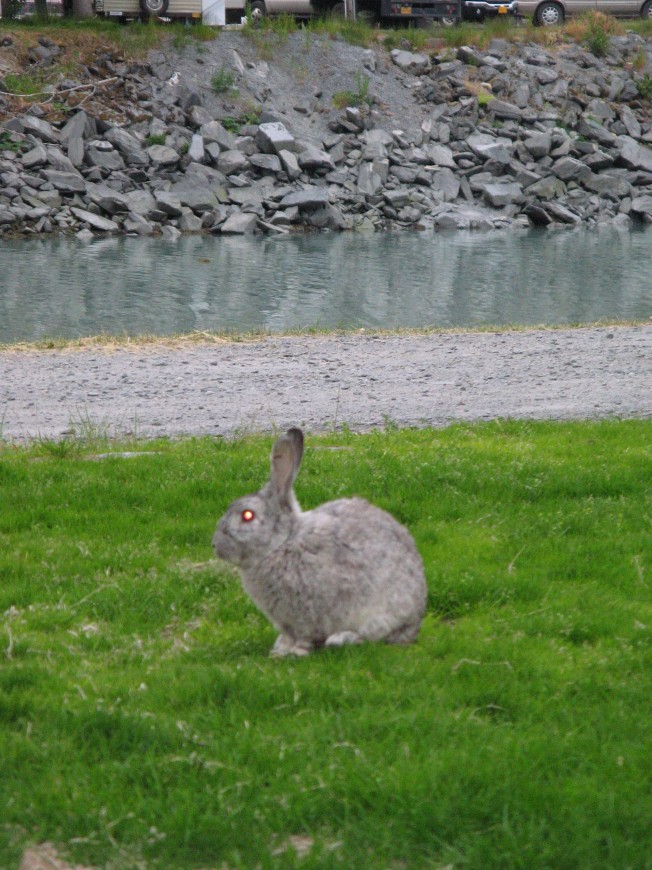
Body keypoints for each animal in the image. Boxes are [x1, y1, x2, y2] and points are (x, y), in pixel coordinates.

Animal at [214, 430, 428, 660]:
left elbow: (304, 636)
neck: (282, 542)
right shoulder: (286, 622)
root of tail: (415, 621)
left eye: (247, 516)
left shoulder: (306, 613)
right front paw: (280, 650)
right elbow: (288, 636)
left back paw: (341, 638)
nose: (215, 545)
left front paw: (295, 652)